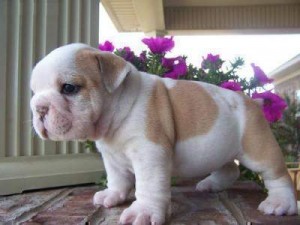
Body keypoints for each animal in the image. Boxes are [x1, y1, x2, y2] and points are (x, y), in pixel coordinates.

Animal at [30, 43, 298, 224]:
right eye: (33, 93)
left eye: (69, 88)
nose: (38, 107)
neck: (117, 110)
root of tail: (252, 102)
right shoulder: (112, 157)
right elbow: (118, 179)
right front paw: (113, 195)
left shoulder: (149, 152)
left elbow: (148, 185)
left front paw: (144, 211)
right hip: (221, 147)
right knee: (229, 168)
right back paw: (211, 184)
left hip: (257, 147)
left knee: (276, 175)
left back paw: (280, 203)